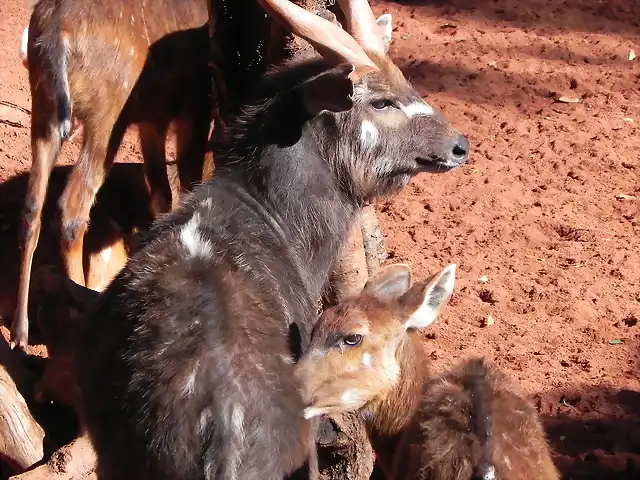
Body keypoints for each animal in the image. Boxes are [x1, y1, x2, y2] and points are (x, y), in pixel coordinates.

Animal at [11, 0, 212, 348]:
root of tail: (54, 36)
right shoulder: (194, 109)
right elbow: (188, 185)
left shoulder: (152, 119)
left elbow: (161, 194)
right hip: (107, 114)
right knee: (72, 207)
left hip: (44, 109)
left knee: (32, 207)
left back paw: (19, 331)